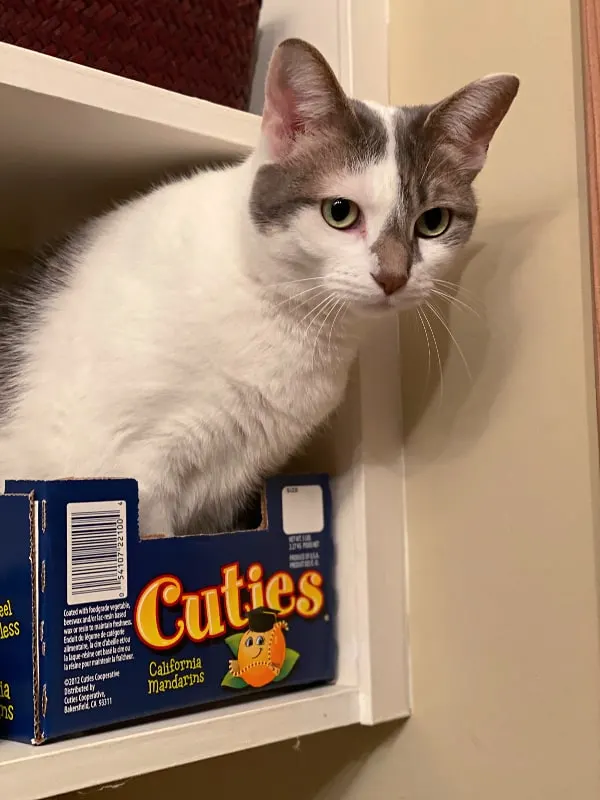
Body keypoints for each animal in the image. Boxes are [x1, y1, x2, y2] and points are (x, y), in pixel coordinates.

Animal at [0, 40, 516, 536]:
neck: (289, 318)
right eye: (339, 212)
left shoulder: (226, 489)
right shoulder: (130, 469)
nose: (393, 276)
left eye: (433, 222)